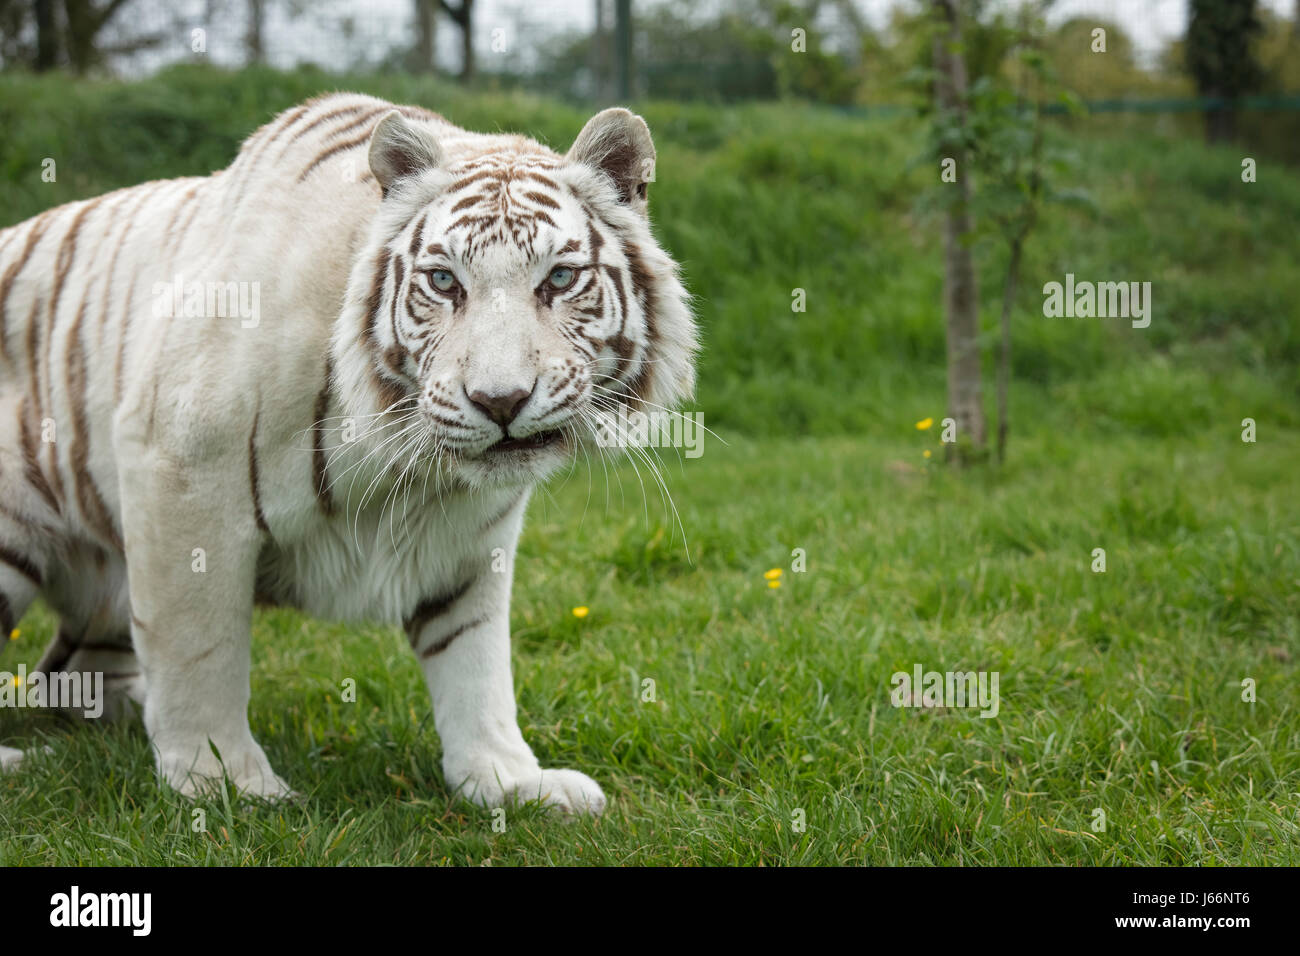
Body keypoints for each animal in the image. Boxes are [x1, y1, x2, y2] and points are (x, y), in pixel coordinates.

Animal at [0, 93, 697, 815]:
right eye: (444, 281)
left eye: (559, 278)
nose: (500, 400)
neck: (406, 466)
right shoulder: (181, 469)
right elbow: (200, 648)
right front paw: (223, 783)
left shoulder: (474, 538)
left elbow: (475, 664)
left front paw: (508, 782)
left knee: (69, 674)